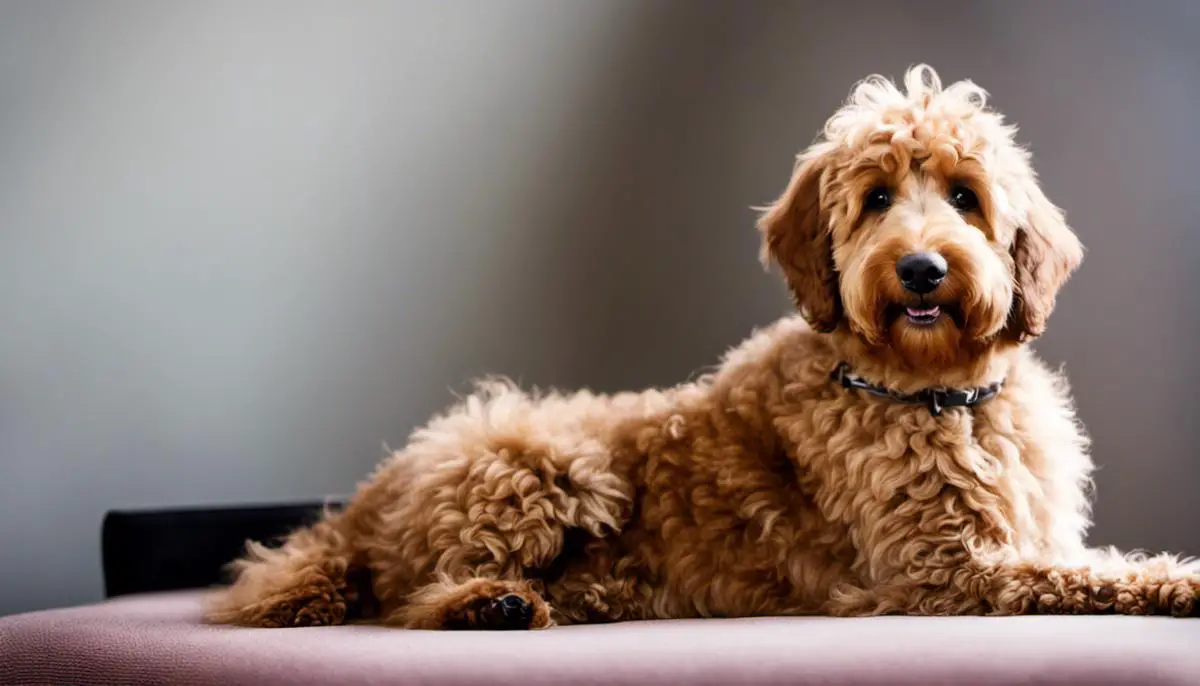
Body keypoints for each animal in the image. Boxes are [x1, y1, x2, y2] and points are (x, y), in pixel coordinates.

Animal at [208, 66, 1200, 628]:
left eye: (965, 196)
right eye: (877, 198)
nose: (921, 270)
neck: (936, 394)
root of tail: (360, 503)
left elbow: (1086, 559)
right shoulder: (945, 569)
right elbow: (1081, 573)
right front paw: (1179, 584)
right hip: (545, 465)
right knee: (411, 598)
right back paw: (490, 606)